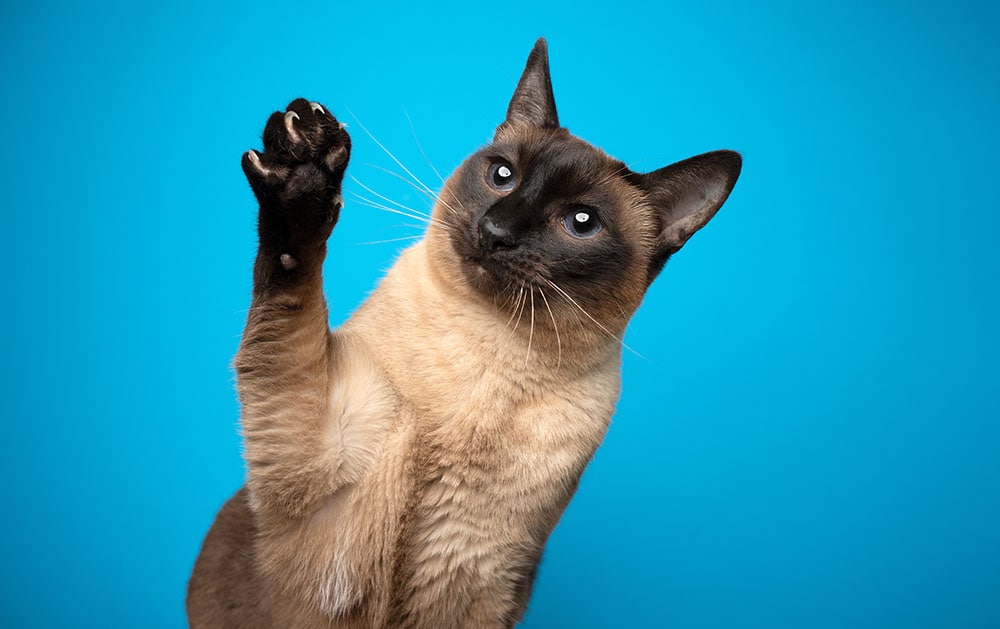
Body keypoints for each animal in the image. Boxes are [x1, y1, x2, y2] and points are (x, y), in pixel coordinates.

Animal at [186, 39, 744, 628]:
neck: (484, 352)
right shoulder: (315, 461)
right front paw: (303, 167)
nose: (495, 231)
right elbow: (292, 271)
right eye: (502, 175)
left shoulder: (479, 585)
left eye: (582, 222)